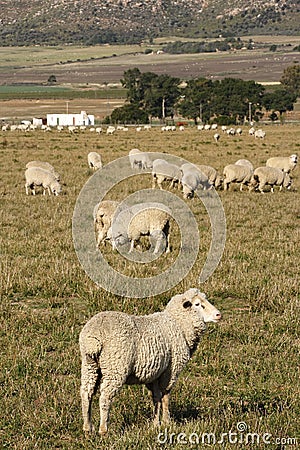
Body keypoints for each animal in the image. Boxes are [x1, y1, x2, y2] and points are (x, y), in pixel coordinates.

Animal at [79, 288, 220, 436]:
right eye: (198, 304)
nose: (218, 315)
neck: (179, 325)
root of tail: (93, 337)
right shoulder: (170, 371)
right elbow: (165, 396)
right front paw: (167, 422)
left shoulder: (155, 373)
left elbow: (156, 397)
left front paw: (155, 423)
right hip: (115, 367)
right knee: (105, 397)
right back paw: (103, 430)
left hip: (90, 365)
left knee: (86, 393)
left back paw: (87, 428)